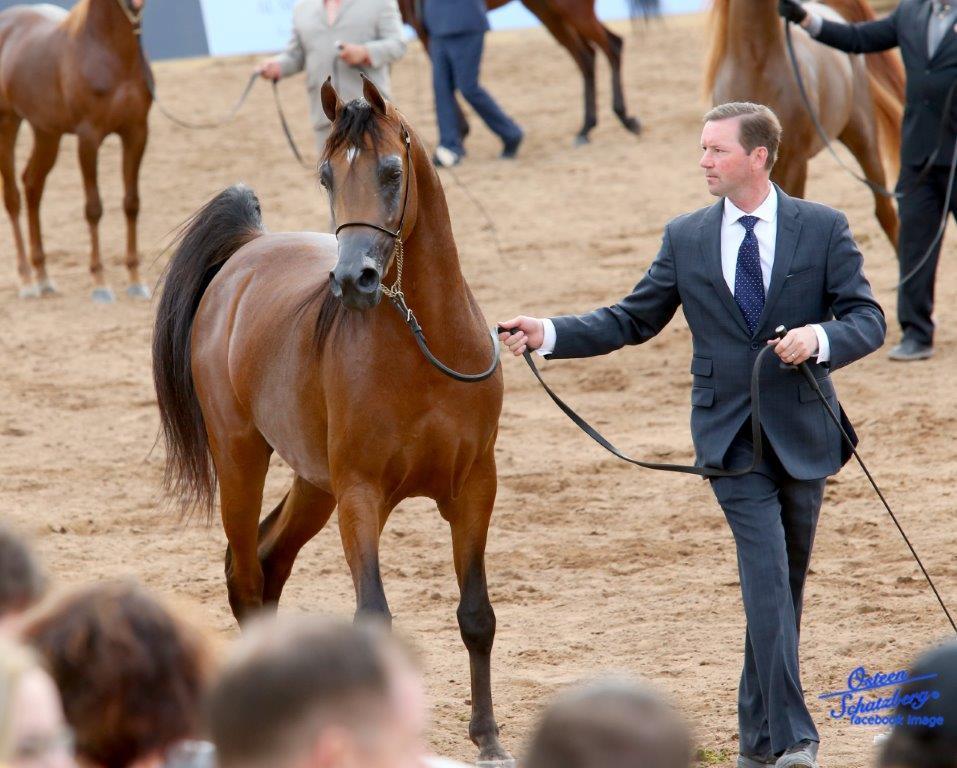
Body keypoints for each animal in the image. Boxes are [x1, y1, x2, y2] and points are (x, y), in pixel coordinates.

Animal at [0, 0, 151, 301]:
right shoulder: (88, 137)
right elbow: (94, 208)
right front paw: (100, 282)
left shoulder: (137, 133)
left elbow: (132, 203)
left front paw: (135, 279)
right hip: (7, 123)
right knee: (12, 197)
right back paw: (27, 280)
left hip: (46, 132)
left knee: (32, 184)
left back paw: (43, 276)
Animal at [152, 77, 513, 766]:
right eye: (326, 176)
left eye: (392, 170)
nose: (354, 279)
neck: (426, 345)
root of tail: (248, 251)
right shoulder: (361, 495)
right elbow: (373, 618)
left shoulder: (475, 488)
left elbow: (476, 614)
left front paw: (488, 737)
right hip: (243, 461)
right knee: (245, 572)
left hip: (312, 485)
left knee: (270, 560)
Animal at [399, 0, 650, 144]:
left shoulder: (422, 24)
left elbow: (442, 78)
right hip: (546, 10)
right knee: (586, 56)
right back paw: (586, 128)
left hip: (570, 7)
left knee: (612, 45)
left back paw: (626, 119)